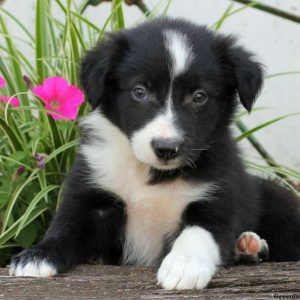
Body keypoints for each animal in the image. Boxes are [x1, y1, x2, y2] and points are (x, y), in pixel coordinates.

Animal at [9, 17, 300, 290]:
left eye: (199, 96)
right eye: (140, 92)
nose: (166, 149)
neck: (151, 174)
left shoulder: (219, 197)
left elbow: (198, 231)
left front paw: (184, 266)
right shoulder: (91, 192)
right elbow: (66, 227)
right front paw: (37, 256)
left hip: (279, 201)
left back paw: (250, 247)